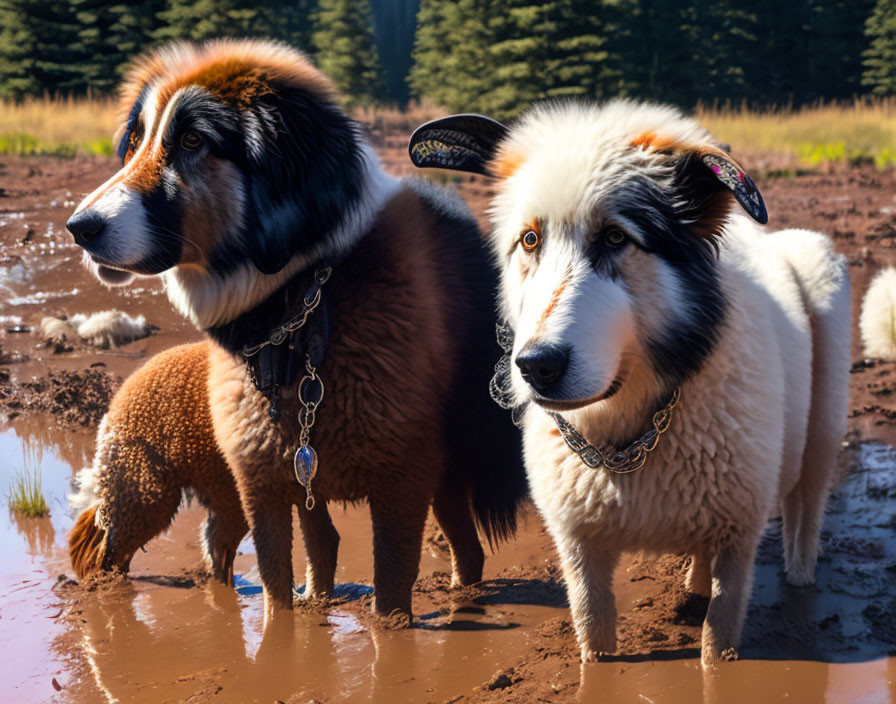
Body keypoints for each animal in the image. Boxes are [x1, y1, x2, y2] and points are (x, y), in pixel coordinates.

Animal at [410, 99, 852, 664]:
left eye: (616, 237)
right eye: (530, 239)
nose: (537, 366)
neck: (629, 437)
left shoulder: (738, 541)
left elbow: (717, 652)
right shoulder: (580, 549)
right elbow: (594, 644)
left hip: (822, 428)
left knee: (806, 506)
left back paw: (799, 577)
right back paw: (693, 588)